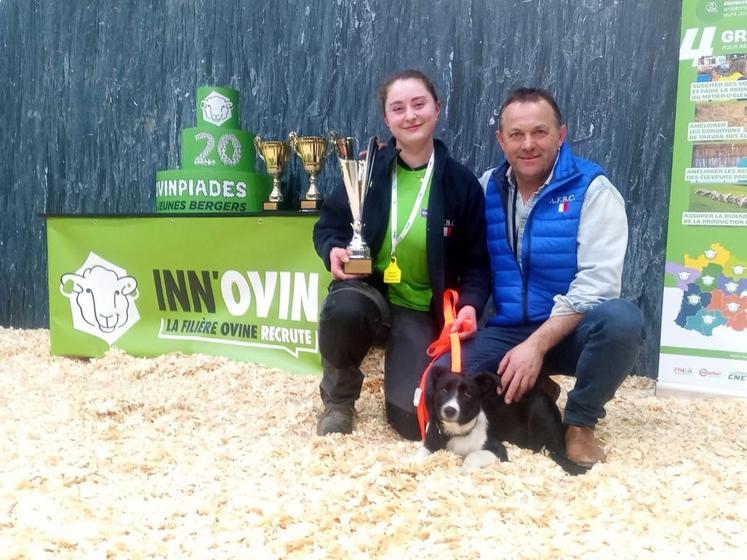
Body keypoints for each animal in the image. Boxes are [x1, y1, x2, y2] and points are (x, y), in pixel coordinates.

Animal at [420, 366, 584, 474]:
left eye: (467, 394)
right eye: (443, 390)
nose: (449, 410)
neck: (456, 432)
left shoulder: (498, 450)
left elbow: (474, 454)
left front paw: (464, 470)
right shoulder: (430, 444)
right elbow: (421, 455)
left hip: (539, 405)